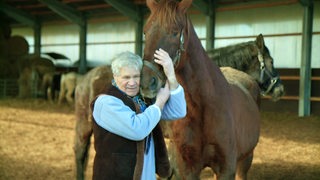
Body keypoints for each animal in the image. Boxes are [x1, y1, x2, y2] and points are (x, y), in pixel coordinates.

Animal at [141, 0, 262, 179]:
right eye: (145, 32)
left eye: (175, 33)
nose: (146, 82)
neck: (202, 107)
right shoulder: (187, 167)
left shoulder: (226, 168)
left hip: (246, 158)